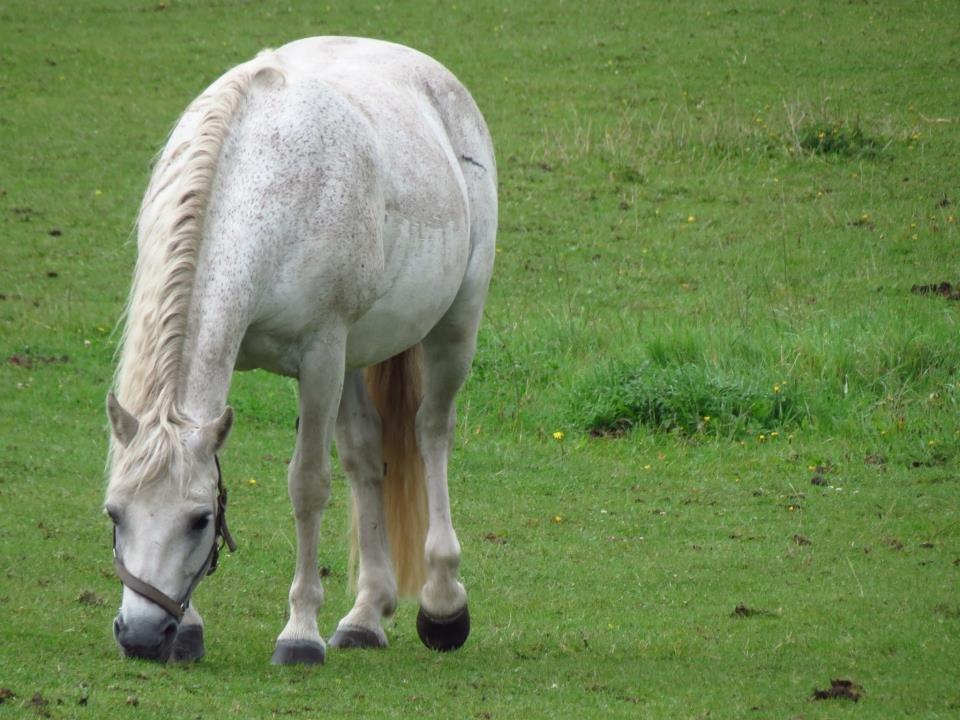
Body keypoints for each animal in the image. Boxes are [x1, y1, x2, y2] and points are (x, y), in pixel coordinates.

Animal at [103, 37, 496, 665]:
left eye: (199, 521)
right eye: (115, 513)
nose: (141, 636)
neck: (260, 189)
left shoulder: (320, 359)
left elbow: (308, 486)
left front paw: (300, 632)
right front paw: (190, 629)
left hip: (453, 327)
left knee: (431, 432)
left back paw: (442, 603)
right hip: (357, 356)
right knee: (367, 454)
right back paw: (366, 615)